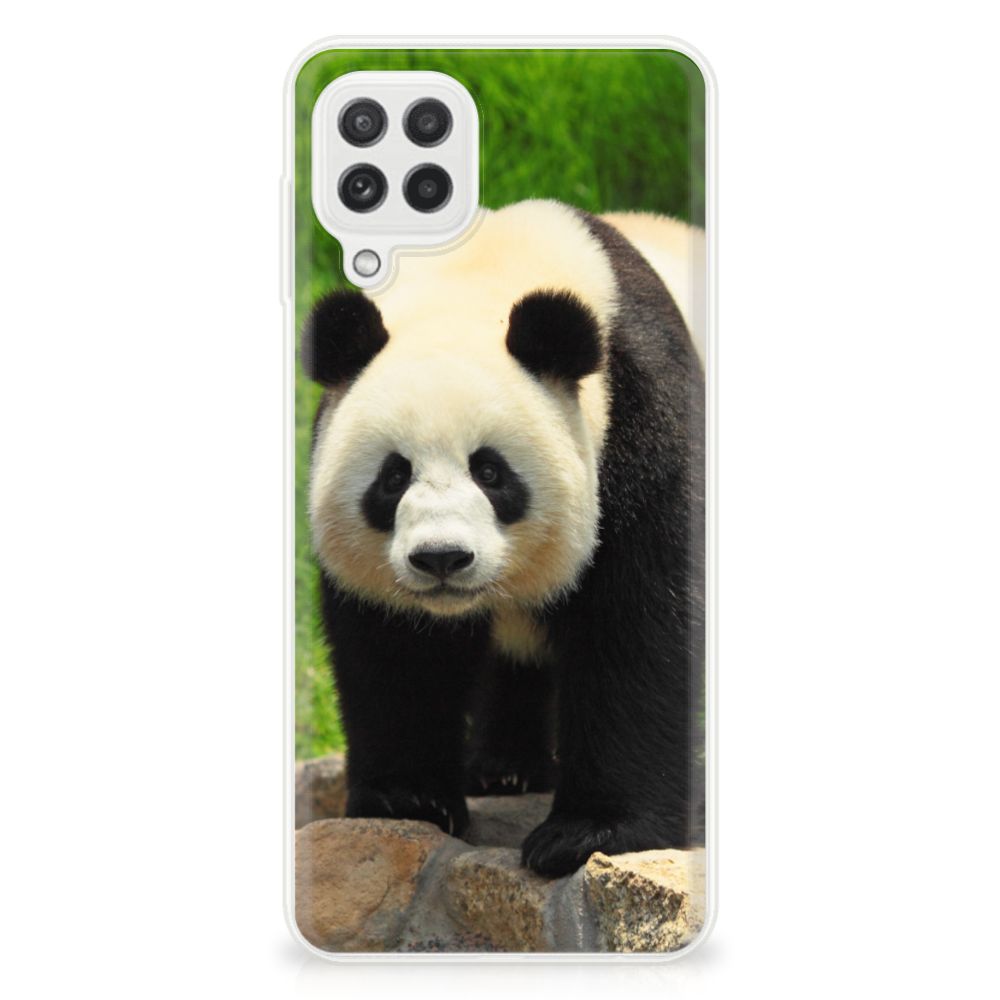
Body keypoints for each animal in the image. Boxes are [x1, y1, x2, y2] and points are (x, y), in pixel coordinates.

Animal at [303, 200, 705, 877]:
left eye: (490, 472)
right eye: (393, 476)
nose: (442, 558)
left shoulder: (642, 420)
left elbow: (639, 625)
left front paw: (589, 833)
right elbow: (395, 649)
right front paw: (407, 799)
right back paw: (504, 769)